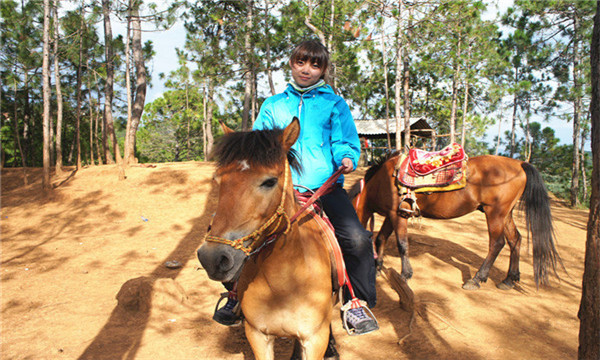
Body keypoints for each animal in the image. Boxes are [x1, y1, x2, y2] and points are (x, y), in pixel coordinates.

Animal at [196, 119, 338, 358]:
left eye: (270, 181)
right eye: (218, 180)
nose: (212, 258)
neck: (284, 286)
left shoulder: (315, 339)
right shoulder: (258, 335)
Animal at [352, 152, 564, 290]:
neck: (381, 181)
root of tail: (520, 164)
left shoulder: (398, 215)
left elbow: (402, 244)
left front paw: (405, 275)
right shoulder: (392, 214)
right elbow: (381, 238)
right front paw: (377, 267)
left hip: (495, 213)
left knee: (497, 243)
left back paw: (477, 279)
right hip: (506, 214)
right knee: (515, 240)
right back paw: (509, 280)